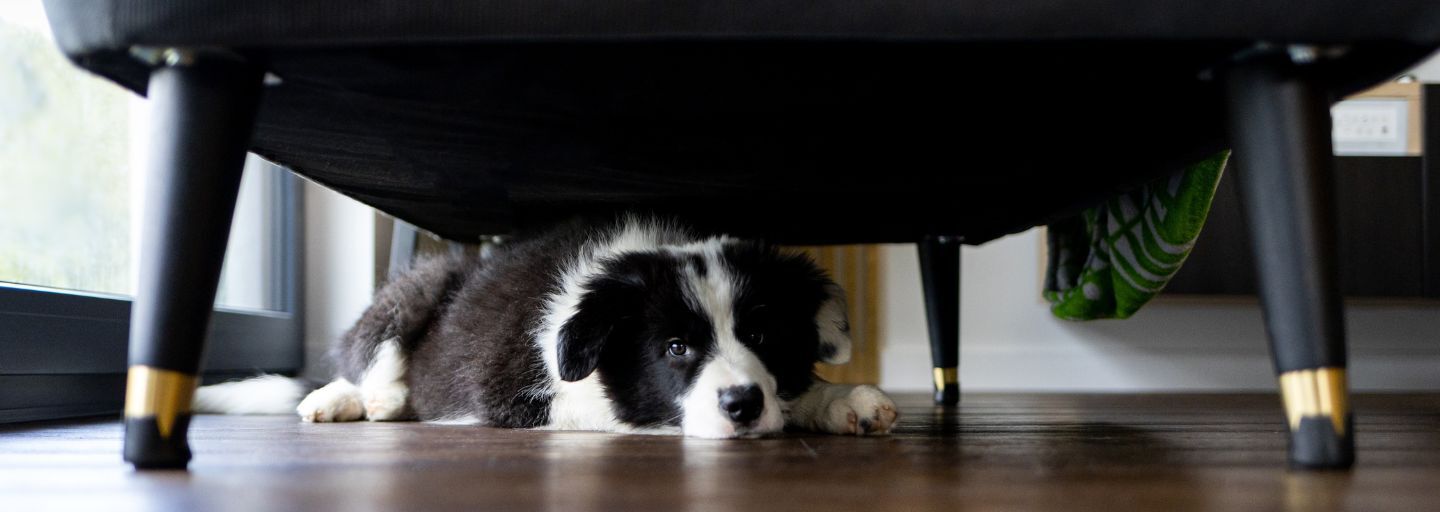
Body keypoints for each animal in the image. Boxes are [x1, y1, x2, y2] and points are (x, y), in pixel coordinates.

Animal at [197, 214, 892, 437]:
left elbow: (794, 390)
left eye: (763, 337)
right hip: (418, 285)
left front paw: (843, 400)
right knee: (364, 361)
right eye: (675, 348)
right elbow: (621, 408)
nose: (742, 405)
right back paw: (352, 400)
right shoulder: (517, 395)